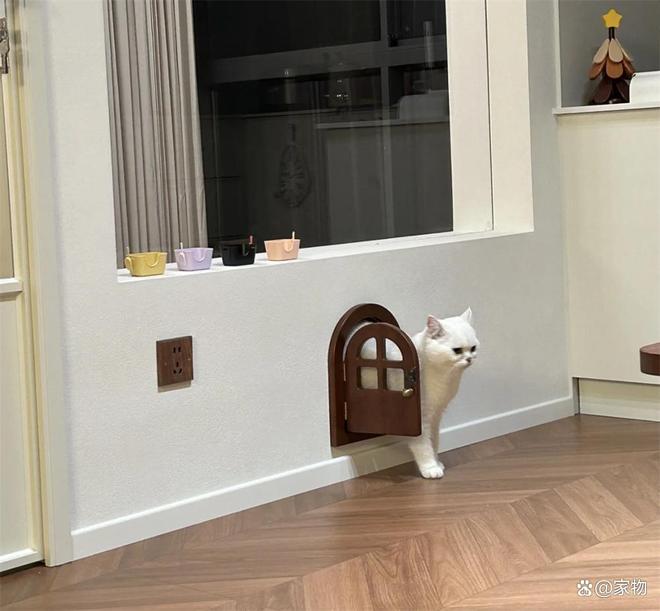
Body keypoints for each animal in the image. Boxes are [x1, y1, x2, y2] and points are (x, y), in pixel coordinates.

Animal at [360, 308, 478, 478]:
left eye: (473, 348)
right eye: (457, 351)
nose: (469, 359)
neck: (443, 376)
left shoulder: (436, 415)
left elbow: (434, 441)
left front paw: (436, 462)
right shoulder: (419, 419)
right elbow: (423, 446)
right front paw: (430, 467)